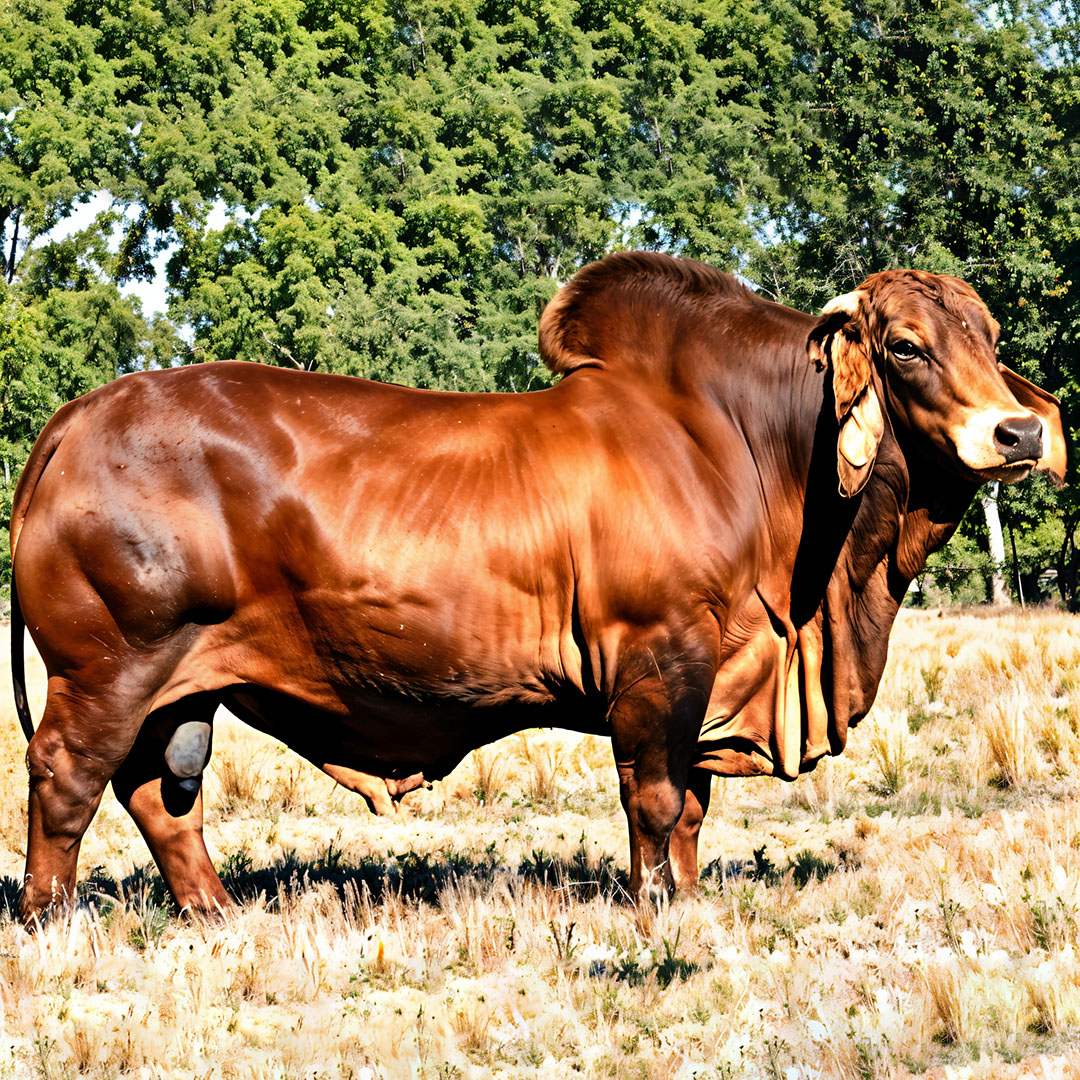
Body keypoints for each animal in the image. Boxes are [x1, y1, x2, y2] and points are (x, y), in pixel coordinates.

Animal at [8, 252, 1065, 923]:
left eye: (988, 334)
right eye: (906, 347)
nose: (1018, 431)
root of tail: (81, 414)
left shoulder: (713, 672)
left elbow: (692, 804)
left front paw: (686, 894)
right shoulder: (658, 659)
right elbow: (656, 798)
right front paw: (653, 905)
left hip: (178, 686)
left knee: (159, 795)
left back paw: (216, 912)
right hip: (110, 666)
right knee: (67, 778)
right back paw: (48, 917)